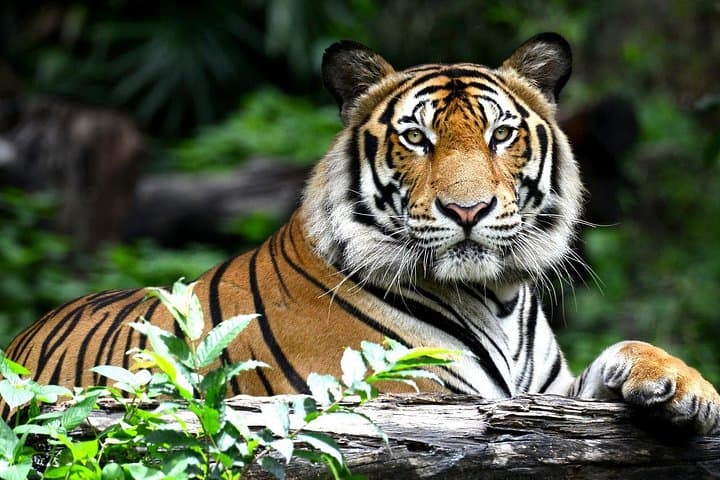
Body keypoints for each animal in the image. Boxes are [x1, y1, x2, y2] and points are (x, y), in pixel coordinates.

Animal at [6, 33, 719, 434]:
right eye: (417, 138)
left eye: (500, 134)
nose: (468, 210)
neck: (496, 297)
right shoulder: (407, 398)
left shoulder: (548, 397)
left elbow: (621, 353)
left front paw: (685, 388)